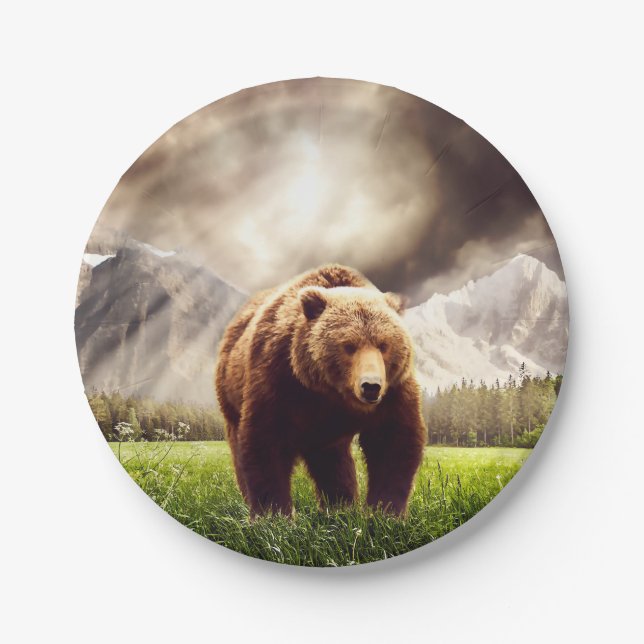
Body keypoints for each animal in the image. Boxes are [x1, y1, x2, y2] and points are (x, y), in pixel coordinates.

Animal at [215, 264, 426, 517]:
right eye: (349, 346)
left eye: (383, 345)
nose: (371, 386)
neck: (330, 392)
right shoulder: (277, 376)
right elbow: (266, 440)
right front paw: (274, 514)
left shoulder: (393, 390)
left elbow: (393, 441)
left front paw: (384, 512)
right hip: (230, 392)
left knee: (332, 461)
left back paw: (340, 506)